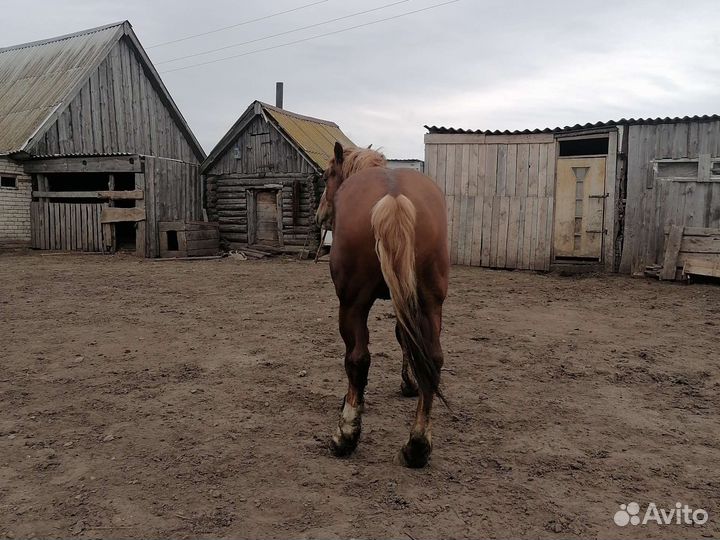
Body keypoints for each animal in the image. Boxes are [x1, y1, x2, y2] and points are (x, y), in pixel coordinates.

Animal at [315, 142, 450, 468]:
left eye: (326, 176)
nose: (319, 214)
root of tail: (394, 195)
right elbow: (406, 340)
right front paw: (409, 383)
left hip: (352, 304)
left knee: (358, 359)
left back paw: (346, 436)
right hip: (431, 302)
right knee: (434, 358)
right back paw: (417, 446)